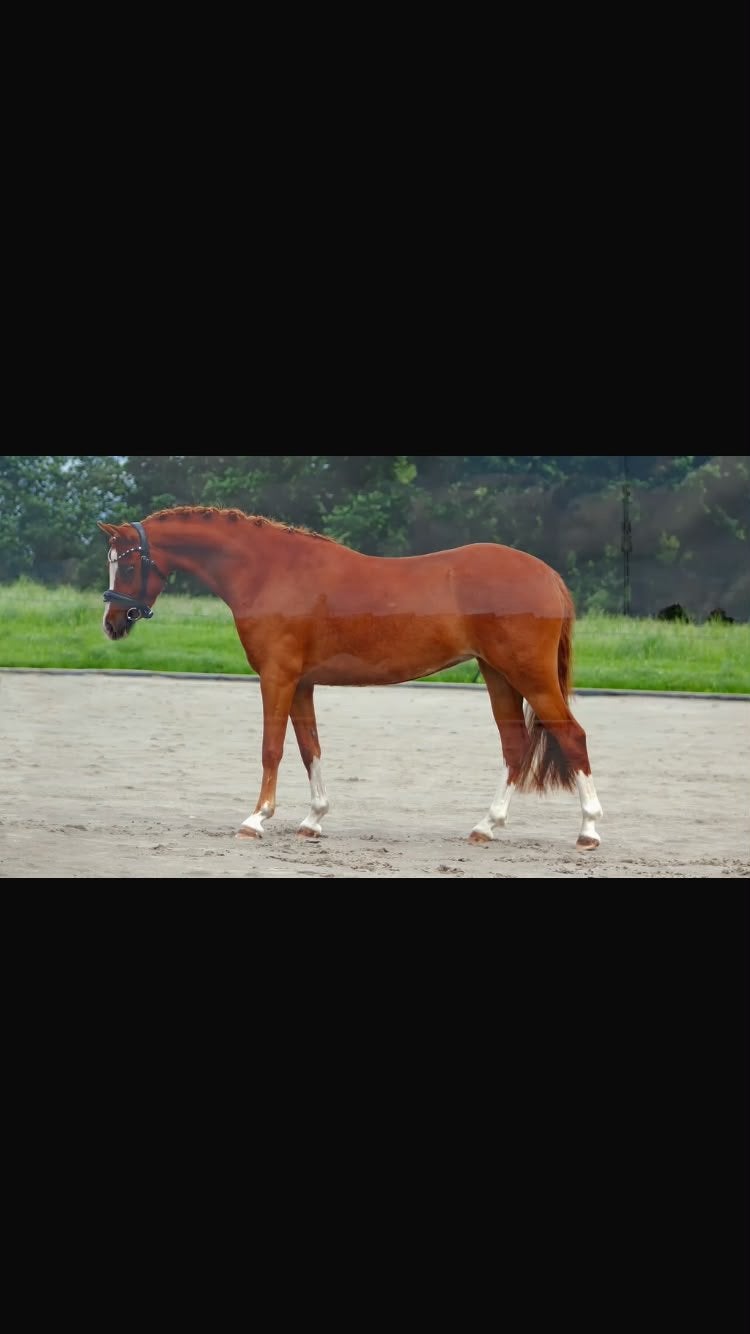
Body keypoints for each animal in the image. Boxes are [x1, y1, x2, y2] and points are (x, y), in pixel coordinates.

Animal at [98, 507, 603, 850]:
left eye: (129, 564)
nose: (113, 623)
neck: (270, 570)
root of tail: (547, 574)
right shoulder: (301, 683)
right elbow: (310, 748)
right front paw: (313, 820)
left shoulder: (277, 678)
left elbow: (271, 748)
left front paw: (256, 819)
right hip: (499, 675)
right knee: (515, 746)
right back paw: (485, 827)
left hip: (529, 675)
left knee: (572, 736)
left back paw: (588, 831)